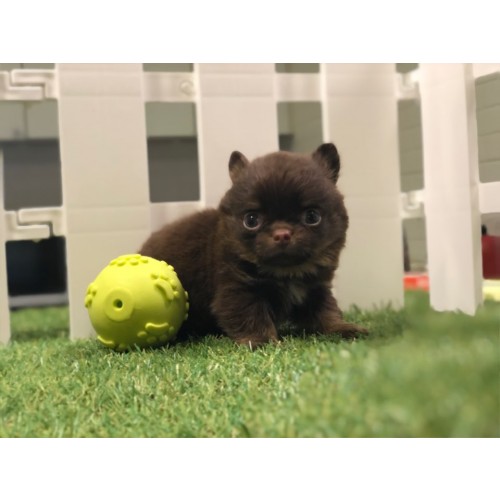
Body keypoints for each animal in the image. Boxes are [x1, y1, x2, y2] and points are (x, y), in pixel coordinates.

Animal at [140, 143, 367, 348]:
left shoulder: (315, 289)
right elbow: (251, 316)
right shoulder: (240, 291)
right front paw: (262, 342)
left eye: (312, 216)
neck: (287, 273)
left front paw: (343, 328)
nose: (282, 234)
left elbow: (326, 312)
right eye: (251, 220)